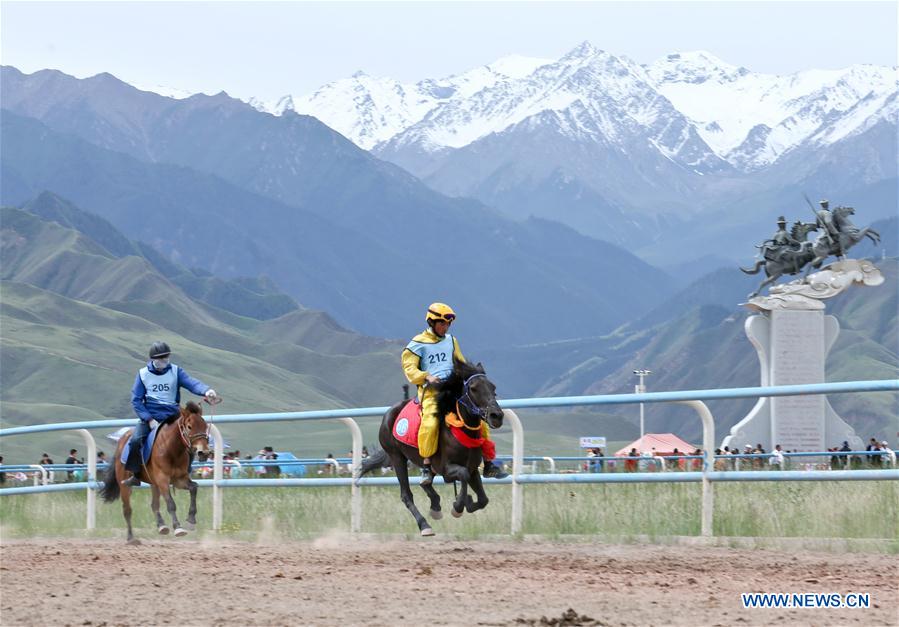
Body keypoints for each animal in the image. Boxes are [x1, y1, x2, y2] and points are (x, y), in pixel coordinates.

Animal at [100, 402, 211, 544]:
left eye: (205, 426)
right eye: (189, 426)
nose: (204, 452)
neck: (172, 449)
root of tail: (121, 441)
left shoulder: (179, 479)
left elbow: (194, 488)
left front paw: (191, 520)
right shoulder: (162, 479)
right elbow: (171, 503)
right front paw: (178, 528)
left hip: (154, 484)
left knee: (154, 505)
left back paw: (161, 526)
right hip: (124, 484)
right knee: (127, 509)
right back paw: (131, 538)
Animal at [354, 360, 506, 536]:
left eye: (493, 387)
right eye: (473, 388)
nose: (497, 416)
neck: (459, 430)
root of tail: (389, 414)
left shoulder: (473, 468)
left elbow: (483, 499)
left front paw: (467, 501)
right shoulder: (446, 469)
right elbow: (463, 475)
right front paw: (458, 506)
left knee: (425, 483)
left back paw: (435, 505)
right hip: (396, 457)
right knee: (406, 495)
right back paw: (424, 525)